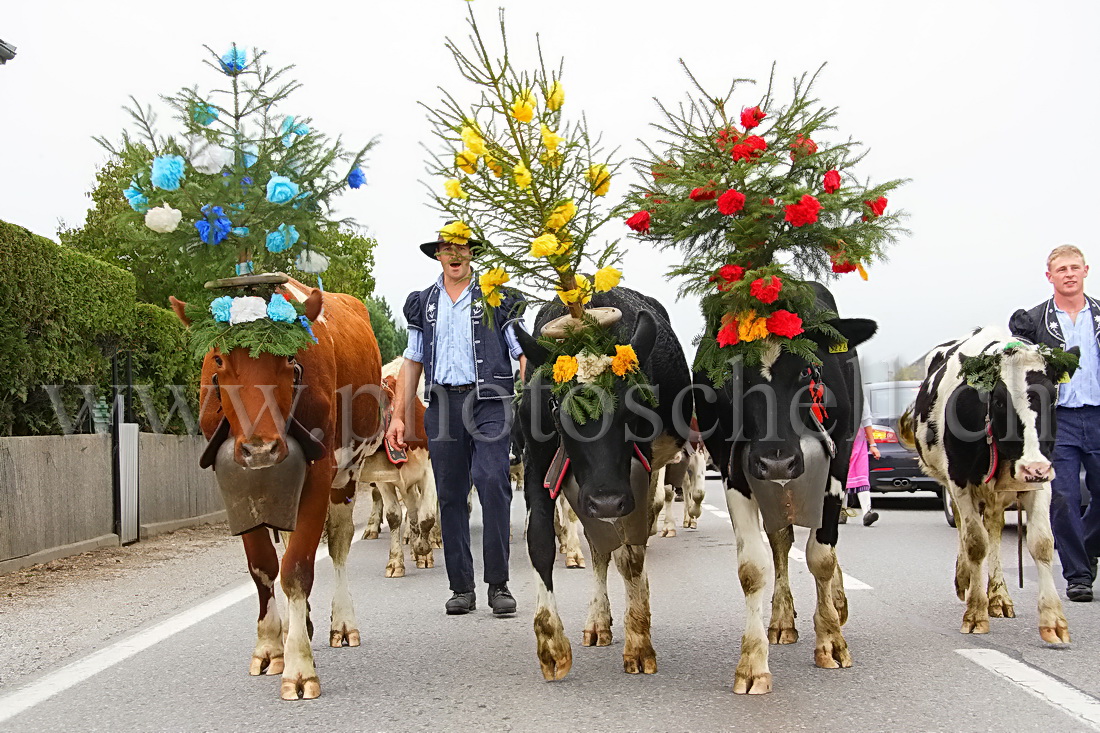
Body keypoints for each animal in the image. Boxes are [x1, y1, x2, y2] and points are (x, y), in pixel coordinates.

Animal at [168, 277, 382, 699]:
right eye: (219, 360)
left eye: (288, 358)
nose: (261, 448)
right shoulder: (234, 479)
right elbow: (264, 566)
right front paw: (269, 646)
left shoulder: (319, 472)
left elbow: (297, 568)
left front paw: (299, 669)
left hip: (348, 473)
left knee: (338, 544)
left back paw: (341, 623)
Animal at [512, 286, 686, 677]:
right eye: (553, 403)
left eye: (634, 406)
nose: (606, 500)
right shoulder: (537, 461)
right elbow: (539, 539)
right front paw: (551, 644)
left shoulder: (636, 475)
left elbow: (630, 555)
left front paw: (638, 643)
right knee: (599, 547)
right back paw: (597, 621)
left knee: (633, 537)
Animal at [695, 281, 875, 695]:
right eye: (734, 372)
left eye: (807, 370)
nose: (777, 461)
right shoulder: (735, 470)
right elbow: (753, 567)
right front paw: (752, 663)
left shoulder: (838, 463)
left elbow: (821, 556)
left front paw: (831, 641)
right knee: (780, 540)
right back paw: (781, 620)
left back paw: (837, 603)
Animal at [902, 325, 1073, 638]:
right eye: (999, 400)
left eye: (1053, 398)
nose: (1034, 467)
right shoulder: (959, 480)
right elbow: (974, 543)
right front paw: (975, 612)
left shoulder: (1041, 482)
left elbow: (1042, 542)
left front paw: (1053, 620)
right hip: (952, 481)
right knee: (965, 528)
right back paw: (967, 581)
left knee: (994, 528)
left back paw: (998, 596)